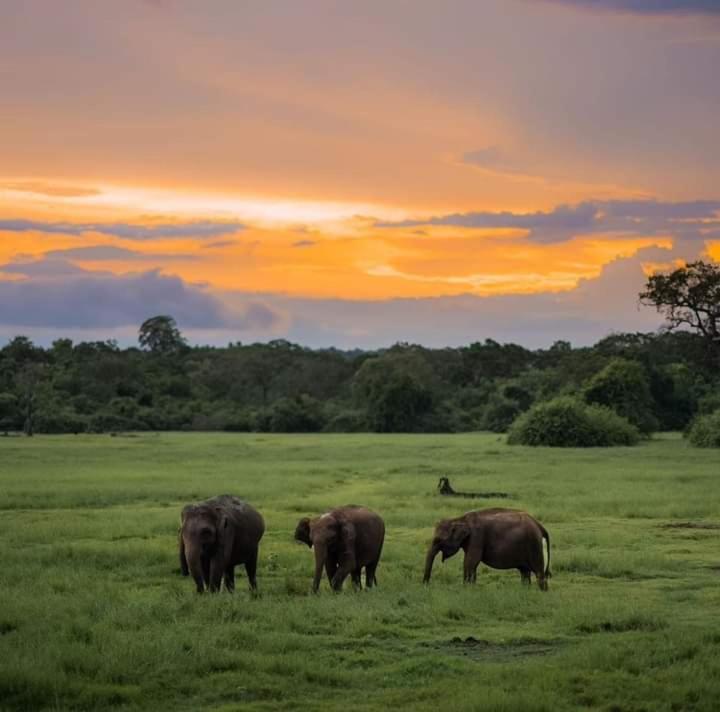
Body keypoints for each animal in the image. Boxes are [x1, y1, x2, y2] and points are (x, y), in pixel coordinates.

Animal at [422, 508, 552, 592]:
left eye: (438, 540)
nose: (426, 586)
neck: (460, 519)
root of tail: (540, 526)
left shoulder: (477, 538)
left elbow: (470, 562)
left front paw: (466, 590)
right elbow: (470, 563)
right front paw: (470, 590)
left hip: (534, 546)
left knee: (539, 574)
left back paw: (542, 593)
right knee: (525, 573)